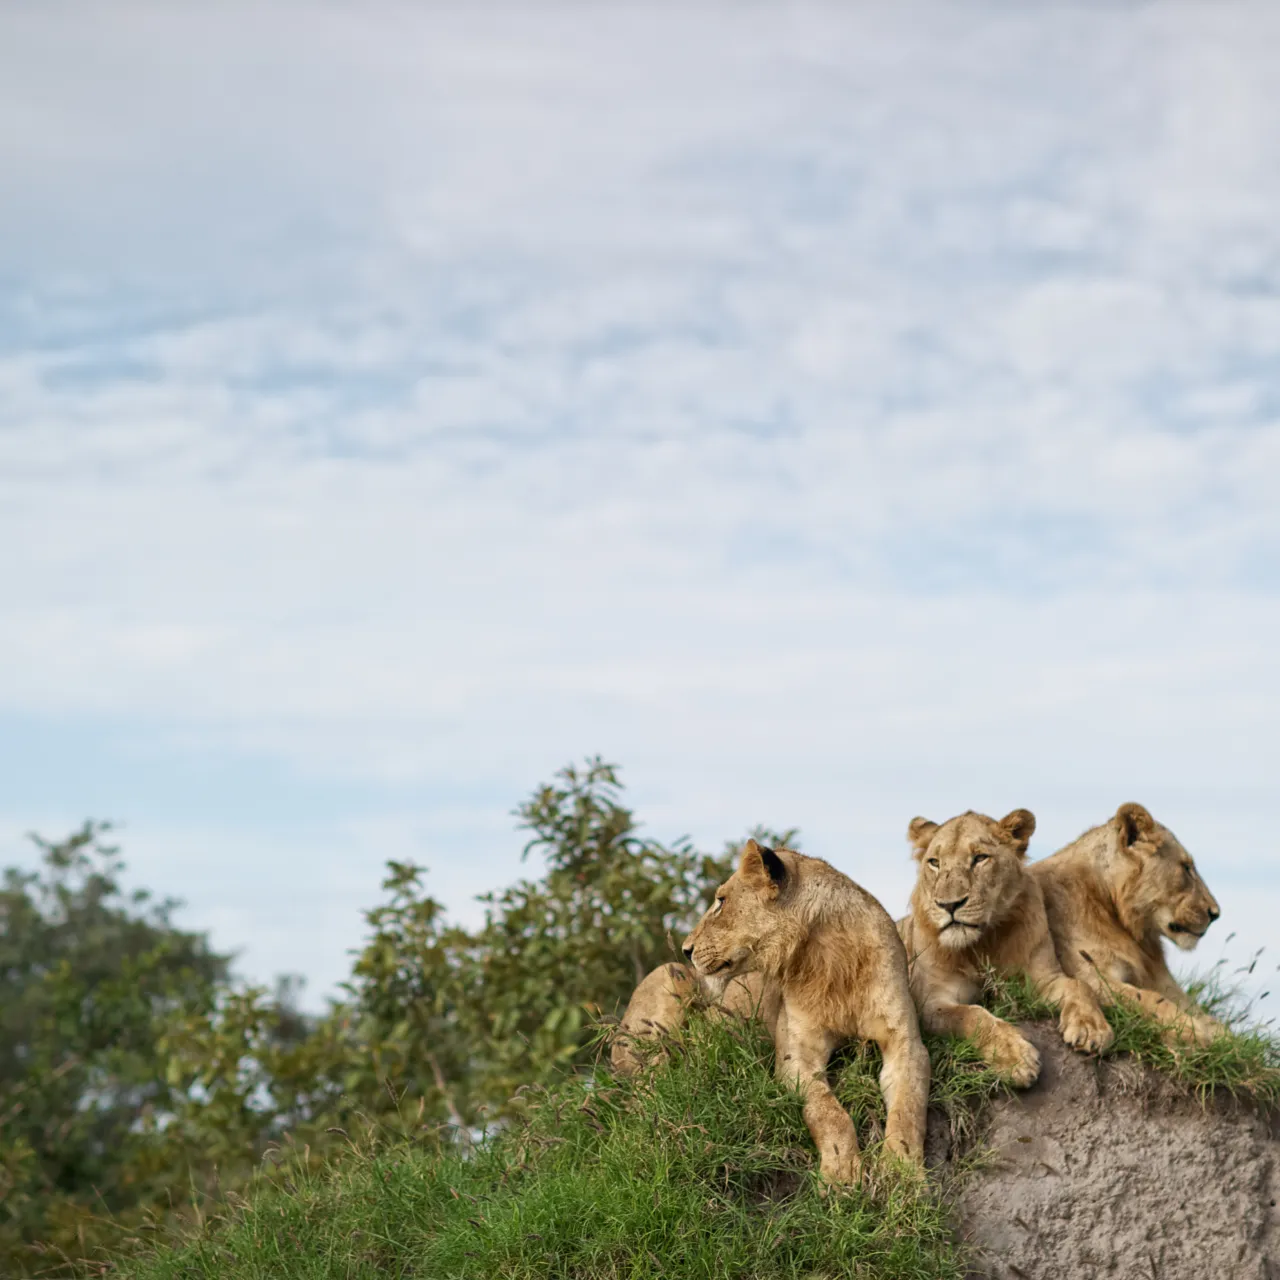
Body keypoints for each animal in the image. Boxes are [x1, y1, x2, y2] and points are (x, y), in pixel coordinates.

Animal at [620, 839, 930, 1185]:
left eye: (721, 901)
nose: (686, 949)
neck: (830, 959)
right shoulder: (796, 1054)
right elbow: (827, 1111)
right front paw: (841, 1173)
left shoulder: (905, 1043)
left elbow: (908, 1107)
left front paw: (904, 1172)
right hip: (668, 975)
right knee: (645, 1087)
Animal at [897, 808, 1113, 1087]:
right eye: (934, 862)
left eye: (980, 858)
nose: (949, 905)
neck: (982, 944)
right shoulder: (930, 1001)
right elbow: (972, 1015)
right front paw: (1015, 1058)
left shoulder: (1043, 979)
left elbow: (1079, 986)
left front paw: (1091, 1028)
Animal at [1029, 802, 1224, 1043]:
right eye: (1186, 868)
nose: (1215, 913)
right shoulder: (1089, 974)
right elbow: (1147, 998)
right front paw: (1194, 1031)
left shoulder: (1164, 982)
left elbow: (1214, 1021)